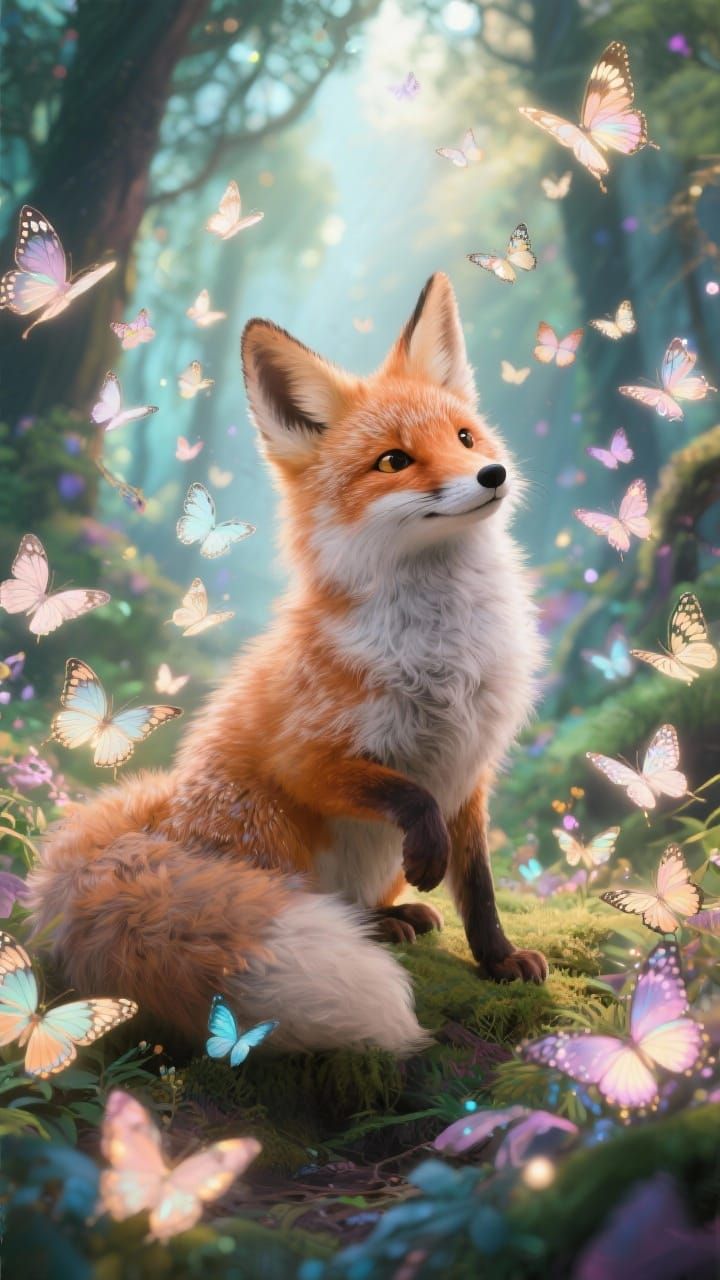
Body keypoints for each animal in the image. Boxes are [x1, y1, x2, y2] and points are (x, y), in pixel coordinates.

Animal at [28, 273, 547, 1056]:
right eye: (394, 461)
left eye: (463, 437)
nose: (494, 473)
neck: (443, 650)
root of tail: (162, 822)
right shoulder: (309, 756)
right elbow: (407, 797)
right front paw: (428, 858)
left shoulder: (471, 767)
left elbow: (480, 888)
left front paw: (498, 960)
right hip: (275, 834)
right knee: (326, 905)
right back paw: (376, 927)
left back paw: (395, 919)